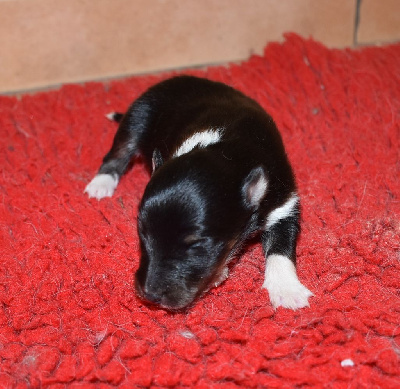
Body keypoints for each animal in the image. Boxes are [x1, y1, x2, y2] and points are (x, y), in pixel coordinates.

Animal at [86, 75, 314, 310]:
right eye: (142, 233)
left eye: (197, 244)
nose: (149, 294)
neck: (229, 151)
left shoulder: (284, 202)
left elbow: (281, 246)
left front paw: (287, 289)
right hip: (138, 115)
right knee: (119, 150)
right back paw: (101, 183)